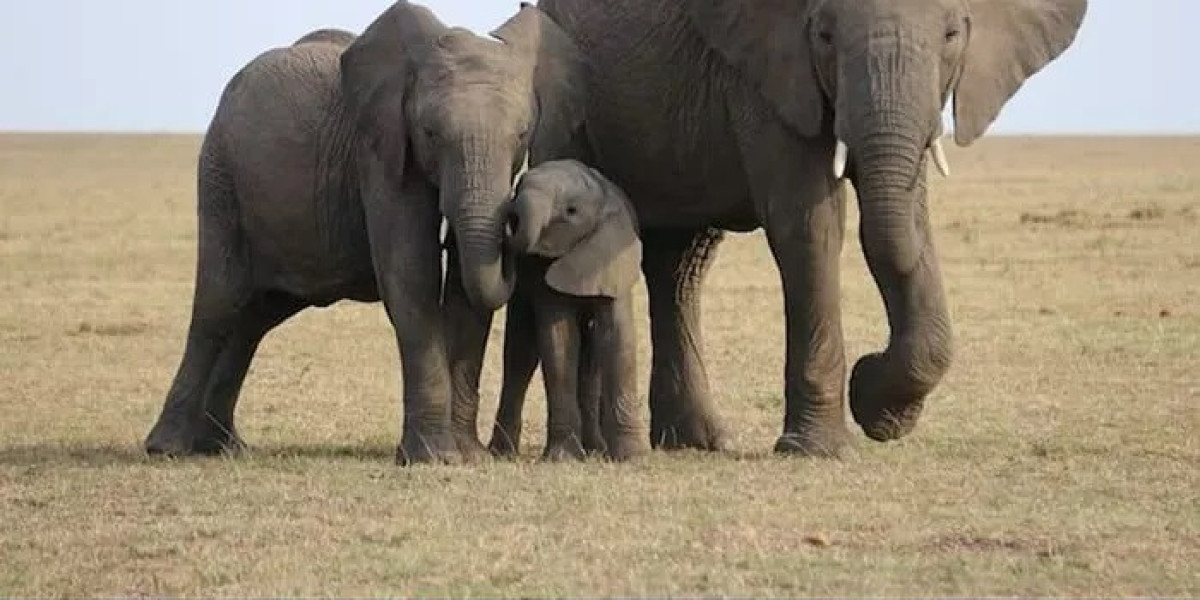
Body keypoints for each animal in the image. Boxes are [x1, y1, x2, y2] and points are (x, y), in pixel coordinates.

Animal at [142, 1, 585, 464]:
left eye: (521, 134)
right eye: (430, 134)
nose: (516, 224)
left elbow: (465, 288)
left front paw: (468, 457)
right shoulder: (378, 150)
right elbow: (411, 273)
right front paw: (434, 458)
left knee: (253, 317)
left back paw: (224, 446)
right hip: (221, 177)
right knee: (218, 304)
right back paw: (168, 448)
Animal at [484, 159, 649, 462]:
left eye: (571, 211)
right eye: (519, 187)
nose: (510, 218)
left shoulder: (612, 255)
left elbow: (617, 336)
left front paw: (631, 456)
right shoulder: (540, 270)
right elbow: (559, 340)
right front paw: (562, 458)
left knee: (591, 355)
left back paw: (596, 448)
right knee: (520, 354)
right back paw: (502, 453)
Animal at [501, 0, 1088, 457]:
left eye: (951, 35)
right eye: (824, 36)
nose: (868, 372)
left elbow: (910, 214)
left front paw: (883, 413)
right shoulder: (766, 71)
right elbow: (809, 222)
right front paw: (824, 444)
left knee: (681, 264)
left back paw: (698, 441)